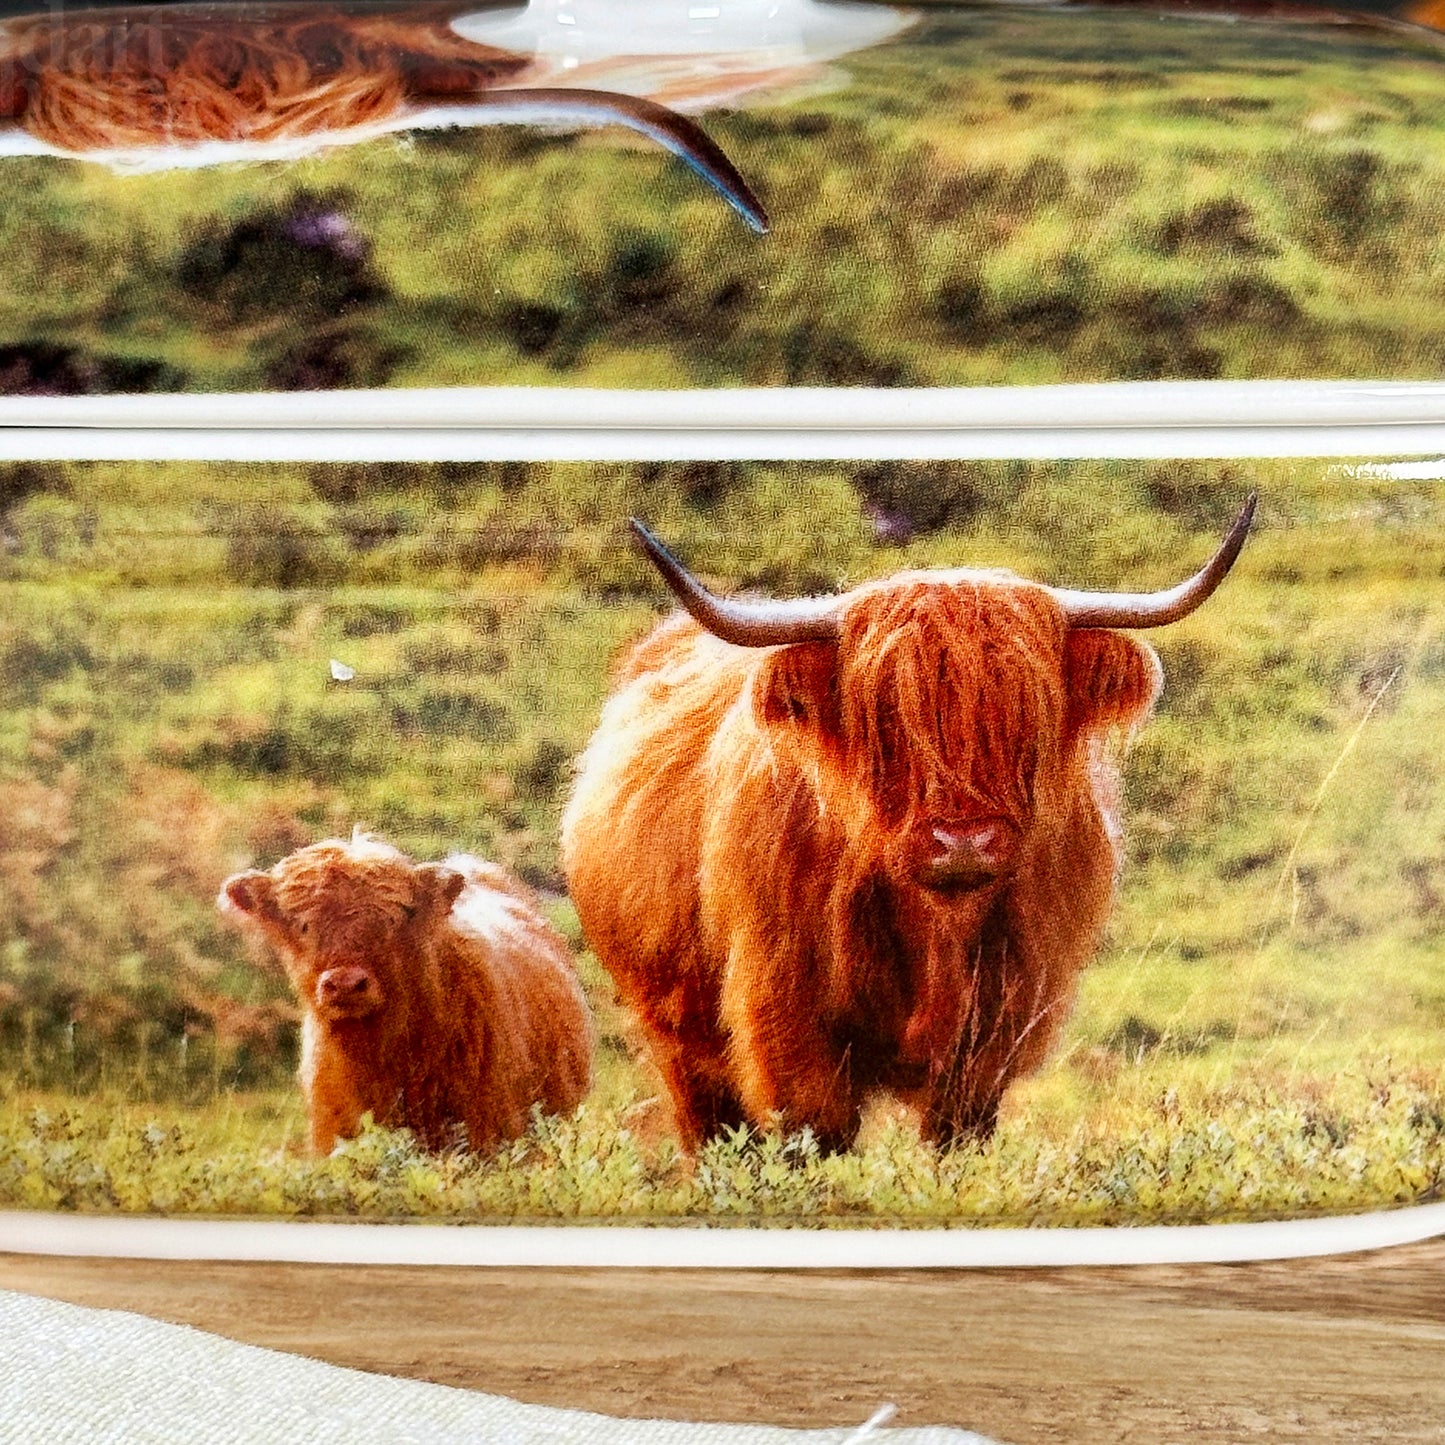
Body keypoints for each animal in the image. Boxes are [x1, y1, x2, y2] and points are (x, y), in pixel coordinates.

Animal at [563, 502, 1254, 1156]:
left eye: (1025, 713)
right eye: (887, 720)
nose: (964, 841)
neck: (934, 931)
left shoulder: (997, 1028)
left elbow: (959, 1135)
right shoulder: (786, 1022)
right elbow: (813, 1135)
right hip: (677, 1034)